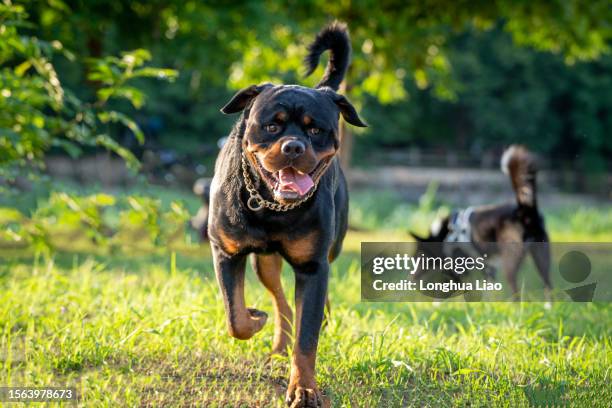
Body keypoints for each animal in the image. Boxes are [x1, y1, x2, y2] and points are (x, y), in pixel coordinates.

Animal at [208, 23, 366, 408]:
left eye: (315, 130)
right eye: (272, 126)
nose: (293, 146)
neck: (272, 207)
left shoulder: (312, 266)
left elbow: (307, 340)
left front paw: (304, 389)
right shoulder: (226, 252)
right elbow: (235, 316)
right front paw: (254, 318)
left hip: (326, 251)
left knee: (303, 306)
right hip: (264, 262)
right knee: (281, 303)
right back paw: (277, 343)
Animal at [414, 146, 552, 296]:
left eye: (420, 255)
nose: (411, 276)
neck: (446, 233)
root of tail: (524, 210)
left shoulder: (461, 266)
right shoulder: (488, 268)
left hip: (510, 262)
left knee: (516, 292)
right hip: (542, 257)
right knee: (548, 287)